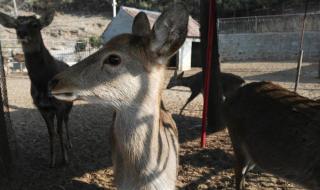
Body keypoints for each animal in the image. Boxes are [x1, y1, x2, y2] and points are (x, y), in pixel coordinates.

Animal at [0, 11, 72, 167]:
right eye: (16, 24)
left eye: (35, 24)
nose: (21, 33)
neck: (43, 86)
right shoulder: (41, 107)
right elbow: (51, 132)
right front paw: (52, 161)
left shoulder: (60, 105)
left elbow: (59, 131)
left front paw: (65, 159)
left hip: (69, 103)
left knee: (66, 121)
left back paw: (69, 145)